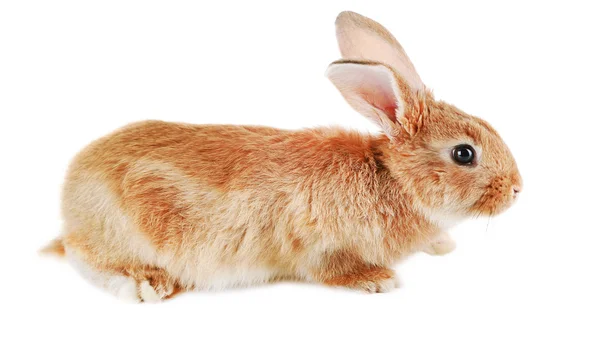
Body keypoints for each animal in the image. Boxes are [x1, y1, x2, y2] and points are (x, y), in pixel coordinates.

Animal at [42, 11, 520, 302]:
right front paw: (378, 280)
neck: (392, 178)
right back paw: (145, 285)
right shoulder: (320, 244)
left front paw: (441, 244)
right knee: (86, 257)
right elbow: (331, 268)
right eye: (464, 154)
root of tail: (70, 203)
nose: (517, 189)